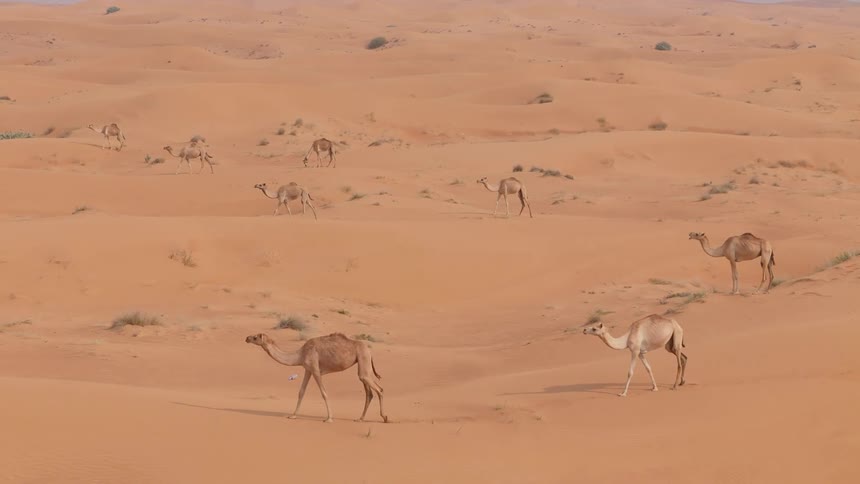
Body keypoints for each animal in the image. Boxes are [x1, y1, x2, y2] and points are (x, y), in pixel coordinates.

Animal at [245, 332, 388, 423]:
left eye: (255, 337)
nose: (247, 338)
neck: (300, 354)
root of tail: (369, 350)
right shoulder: (307, 370)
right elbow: (301, 392)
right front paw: (293, 416)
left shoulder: (315, 369)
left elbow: (324, 393)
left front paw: (329, 418)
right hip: (363, 363)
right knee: (369, 392)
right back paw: (360, 419)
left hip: (363, 359)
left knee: (379, 389)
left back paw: (385, 417)